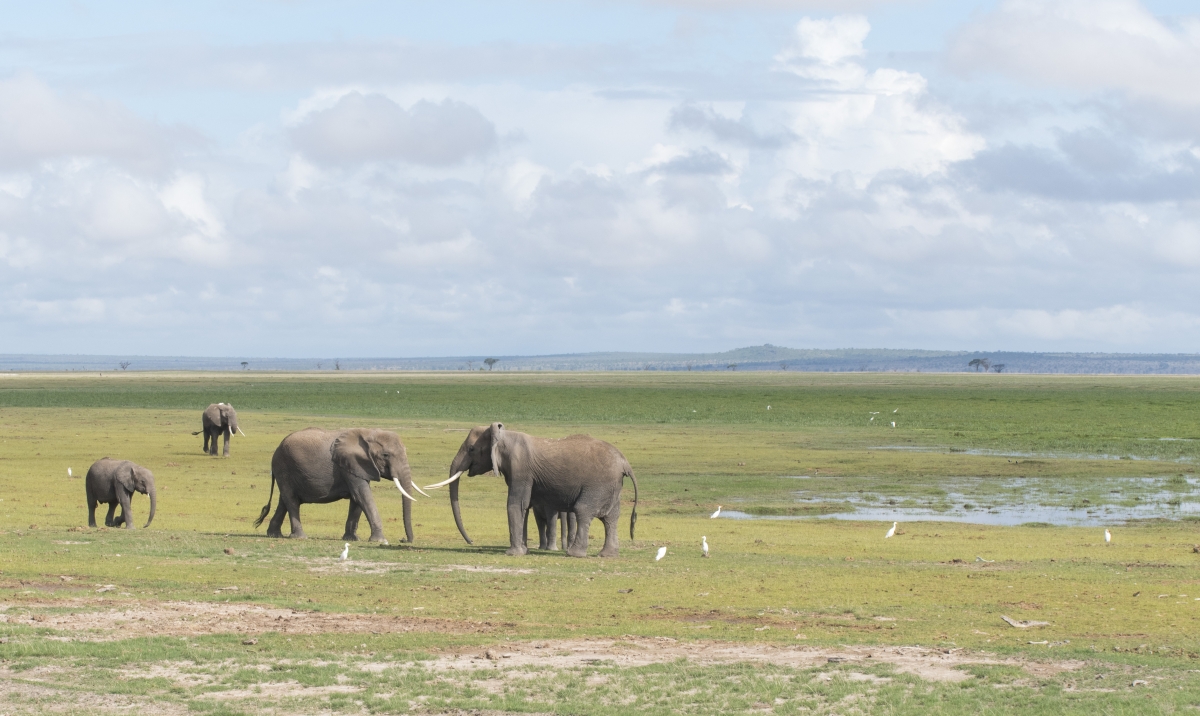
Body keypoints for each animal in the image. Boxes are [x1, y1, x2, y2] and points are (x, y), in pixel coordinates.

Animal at [254, 424, 422, 542]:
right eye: (386, 455)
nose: (404, 540)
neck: (368, 433)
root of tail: (277, 449)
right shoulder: (348, 465)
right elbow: (362, 495)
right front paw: (380, 541)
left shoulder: (358, 467)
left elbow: (357, 499)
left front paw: (352, 539)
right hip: (284, 466)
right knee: (291, 499)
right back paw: (300, 537)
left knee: (284, 500)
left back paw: (274, 535)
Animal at [429, 422, 638, 556]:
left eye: (471, 449)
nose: (471, 542)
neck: (505, 436)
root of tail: (625, 463)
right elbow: (524, 507)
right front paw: (524, 551)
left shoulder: (520, 469)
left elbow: (515, 504)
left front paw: (512, 554)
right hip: (612, 485)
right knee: (611, 518)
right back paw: (607, 555)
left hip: (598, 484)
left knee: (583, 511)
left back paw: (574, 554)